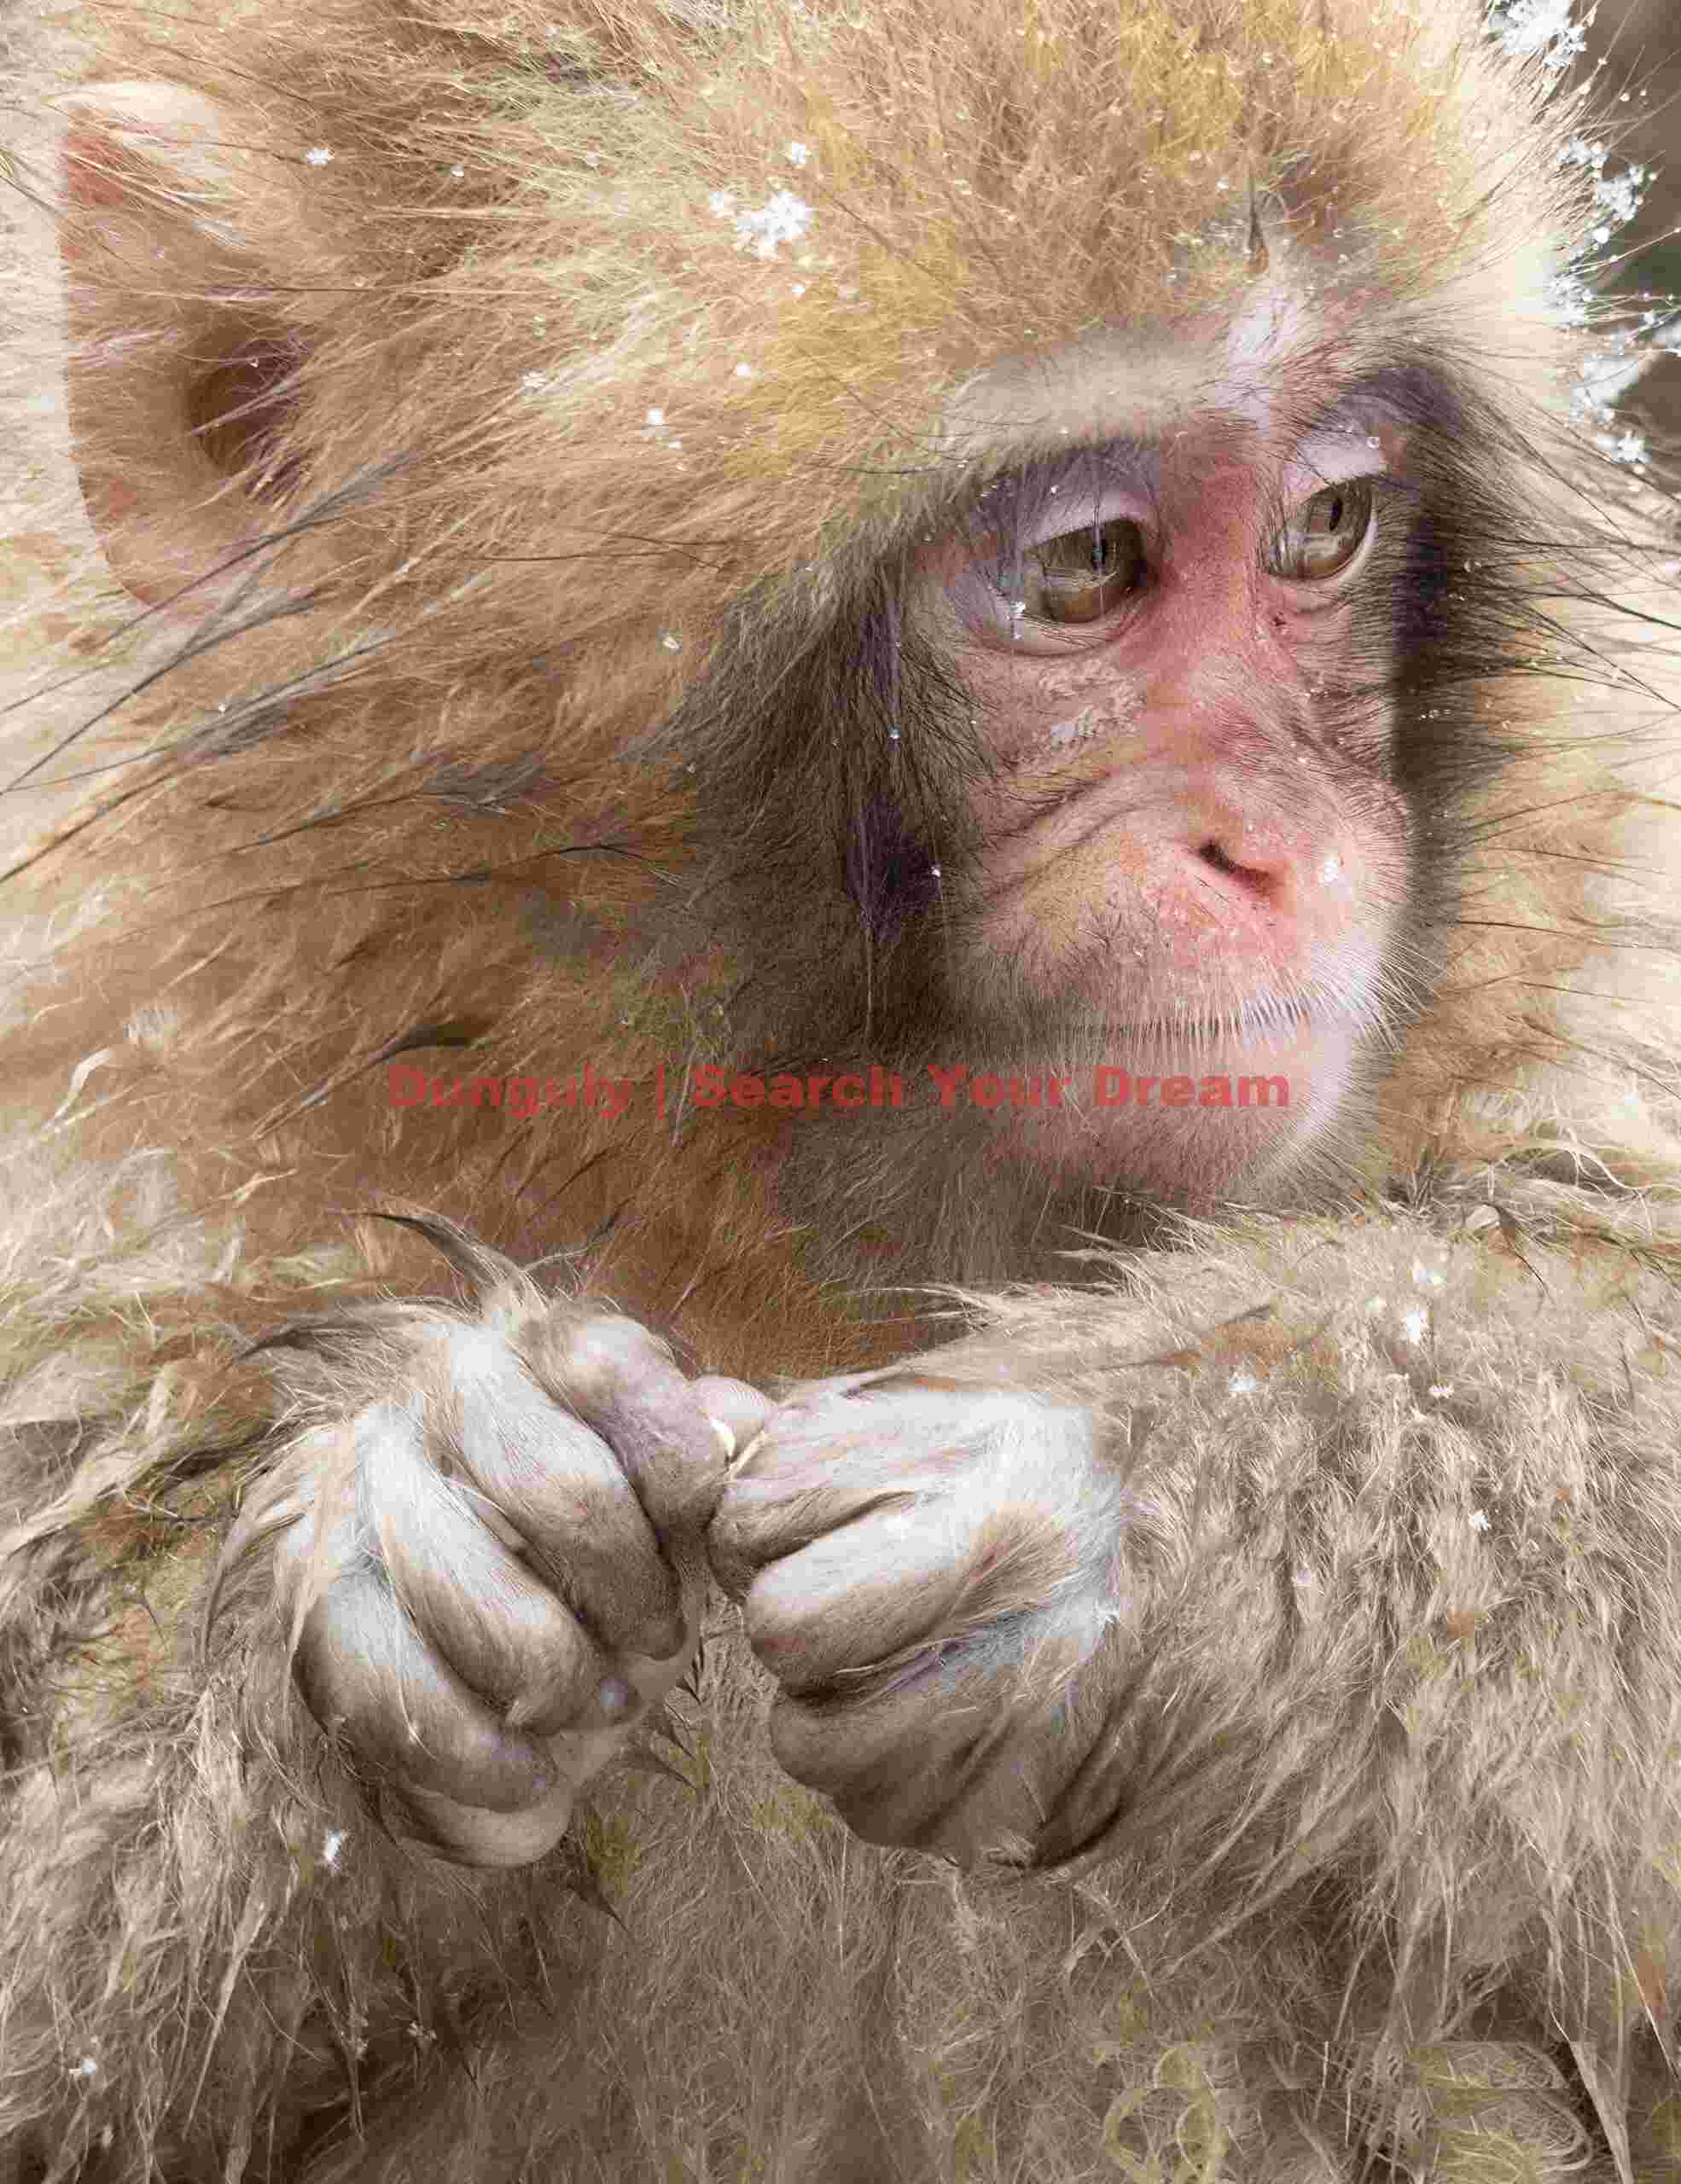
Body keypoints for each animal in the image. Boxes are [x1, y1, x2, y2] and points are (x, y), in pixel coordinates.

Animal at [4, 0, 1681, 2176]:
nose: (1282, 849)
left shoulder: (1604, 834)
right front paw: (396, 1546)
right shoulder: (82, 1045)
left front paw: (1090, 1513)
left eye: (1326, 529)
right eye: (1085, 566)